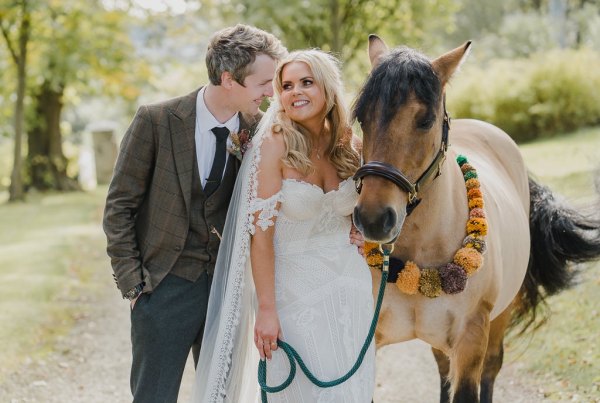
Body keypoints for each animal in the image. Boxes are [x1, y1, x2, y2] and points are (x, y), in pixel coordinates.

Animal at [352, 35, 600, 403]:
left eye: (424, 120)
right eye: (362, 118)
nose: (373, 218)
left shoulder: (471, 340)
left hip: (498, 322)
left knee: (490, 373)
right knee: (444, 373)